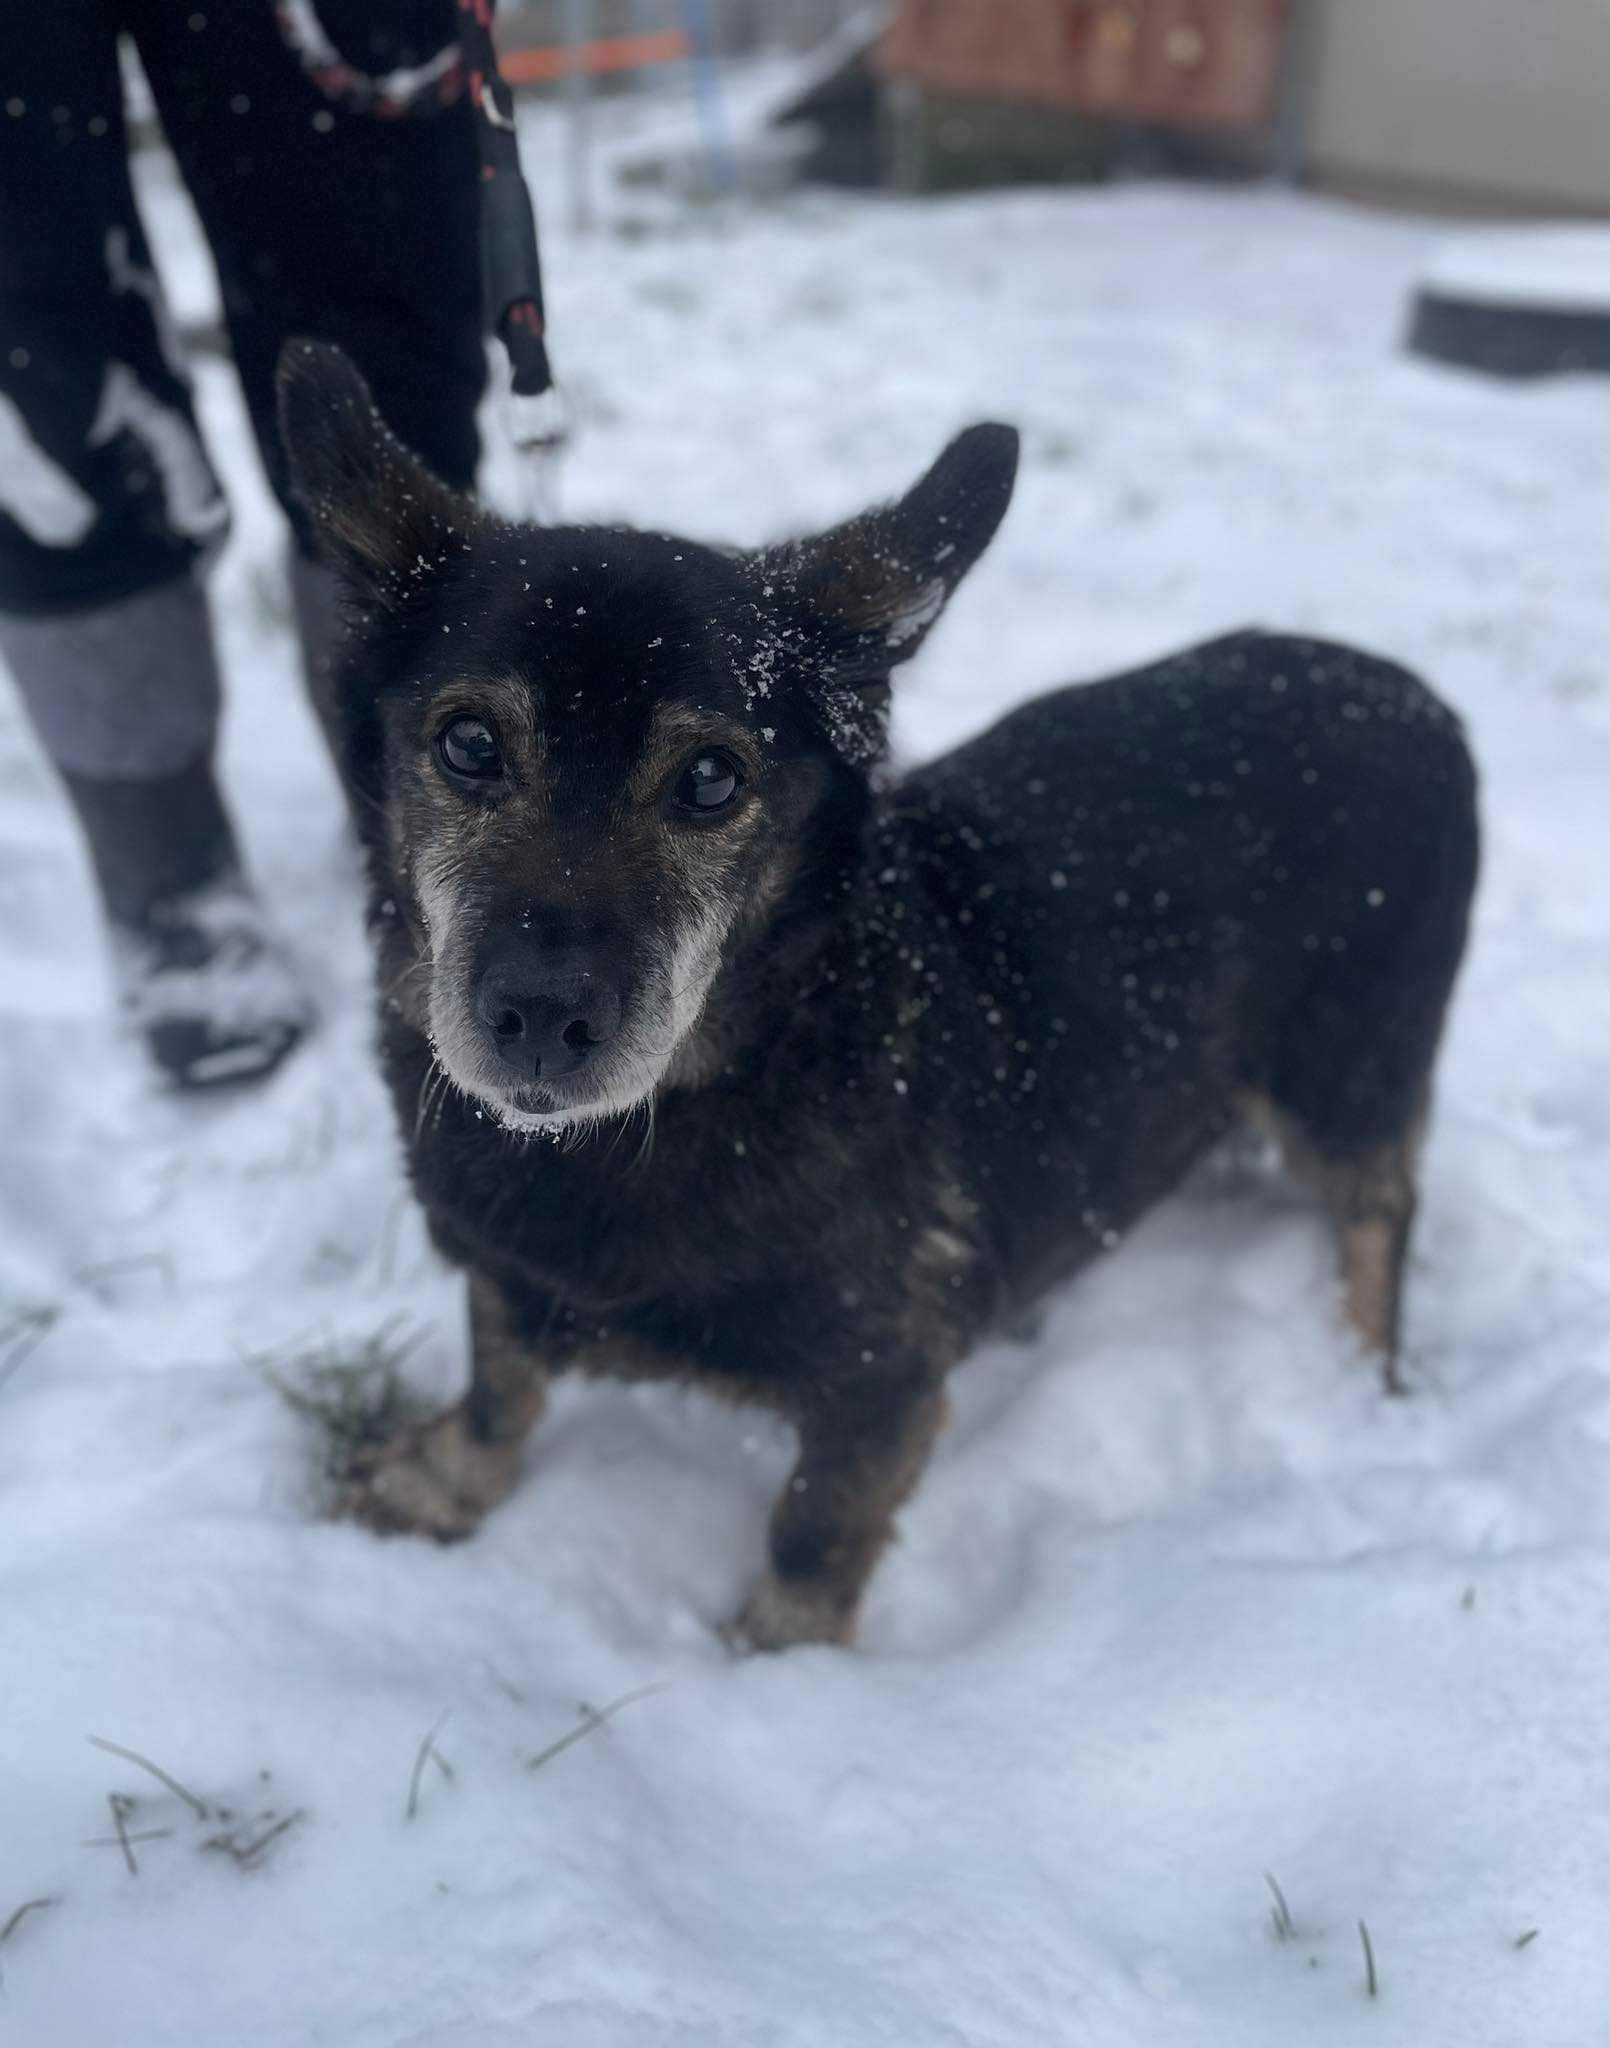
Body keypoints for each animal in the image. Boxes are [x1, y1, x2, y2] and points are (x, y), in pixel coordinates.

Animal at [278, 335, 1483, 1646]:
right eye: (467, 745)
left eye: (711, 777)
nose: (542, 1016)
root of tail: (1416, 698)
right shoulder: (506, 1269)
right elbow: (500, 1379)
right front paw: (446, 1479)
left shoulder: (882, 1385)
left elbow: (810, 1534)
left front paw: (773, 1666)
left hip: (1345, 1071)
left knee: (1381, 1214)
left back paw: (1355, 1368)